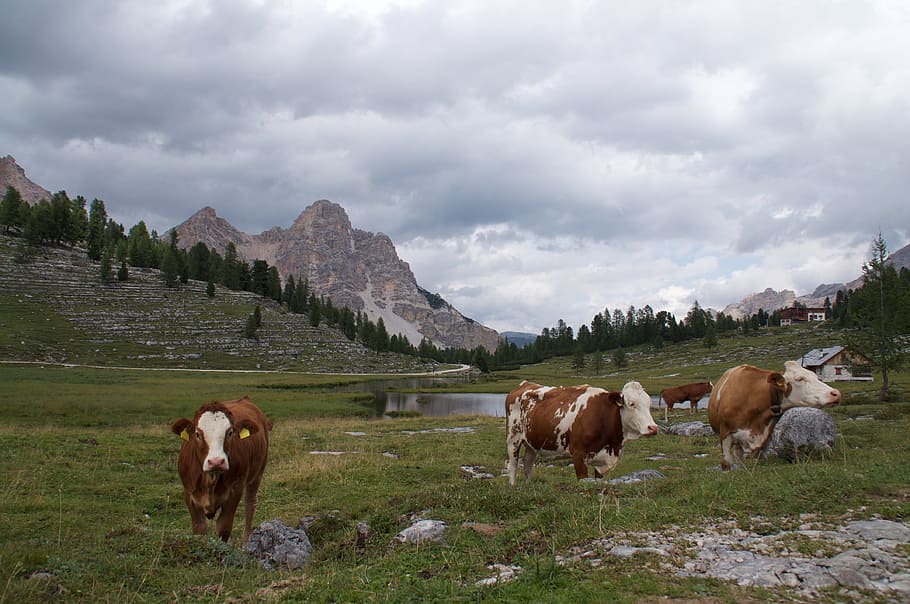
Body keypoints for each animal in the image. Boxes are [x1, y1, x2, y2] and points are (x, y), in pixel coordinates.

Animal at [170, 396, 272, 542]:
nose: (216, 462)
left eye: (230, 433)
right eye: (197, 434)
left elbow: (223, 528)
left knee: (250, 504)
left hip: (257, 474)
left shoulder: (234, 493)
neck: (210, 480)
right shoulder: (189, 494)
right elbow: (199, 529)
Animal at [505, 380, 659, 485]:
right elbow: (583, 480)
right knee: (513, 464)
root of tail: (524, 384)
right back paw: (513, 486)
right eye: (632, 403)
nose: (653, 428)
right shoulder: (578, 454)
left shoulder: (601, 460)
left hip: (531, 442)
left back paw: (527, 485)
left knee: (527, 463)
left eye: (649, 404)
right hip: (513, 438)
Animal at [707, 361, 841, 470]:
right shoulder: (725, 434)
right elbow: (726, 463)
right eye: (799, 378)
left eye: (816, 376)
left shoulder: (764, 436)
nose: (836, 394)